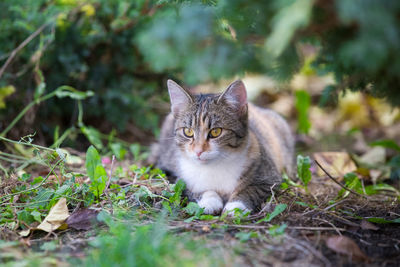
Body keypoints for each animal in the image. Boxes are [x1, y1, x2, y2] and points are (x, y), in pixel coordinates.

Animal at [148, 79, 296, 216]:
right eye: (188, 132)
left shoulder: (269, 176)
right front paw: (210, 200)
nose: (198, 151)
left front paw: (236, 205)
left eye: (216, 132)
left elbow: (252, 189)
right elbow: (194, 188)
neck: (215, 166)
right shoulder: (176, 176)